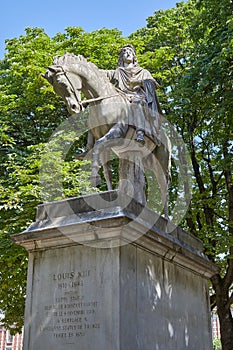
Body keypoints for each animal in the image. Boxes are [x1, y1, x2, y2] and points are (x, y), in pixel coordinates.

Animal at [43, 52, 171, 217]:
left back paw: (166, 218)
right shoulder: (105, 142)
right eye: (57, 90)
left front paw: (93, 178)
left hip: (161, 163)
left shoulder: (117, 132)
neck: (102, 102)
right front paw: (107, 192)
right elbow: (106, 170)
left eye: (63, 84)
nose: (74, 108)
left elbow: (98, 146)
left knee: (164, 189)